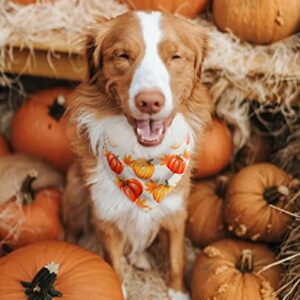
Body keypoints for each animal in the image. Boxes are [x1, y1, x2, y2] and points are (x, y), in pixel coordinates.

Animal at [66, 9, 211, 300]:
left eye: (175, 56)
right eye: (122, 56)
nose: (149, 102)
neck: (144, 156)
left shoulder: (176, 213)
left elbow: (176, 260)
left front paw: (177, 292)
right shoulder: (106, 218)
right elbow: (114, 267)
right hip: (75, 190)